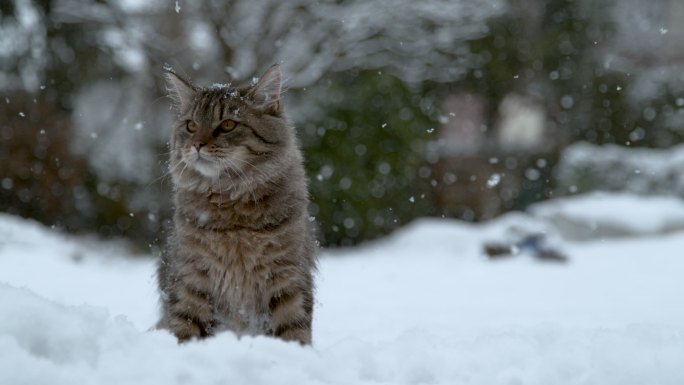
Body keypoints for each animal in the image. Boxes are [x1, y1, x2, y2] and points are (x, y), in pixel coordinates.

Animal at [156, 64, 316, 344]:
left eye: (228, 124)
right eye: (191, 125)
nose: (196, 144)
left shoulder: (288, 276)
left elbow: (293, 330)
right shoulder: (191, 276)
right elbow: (184, 326)